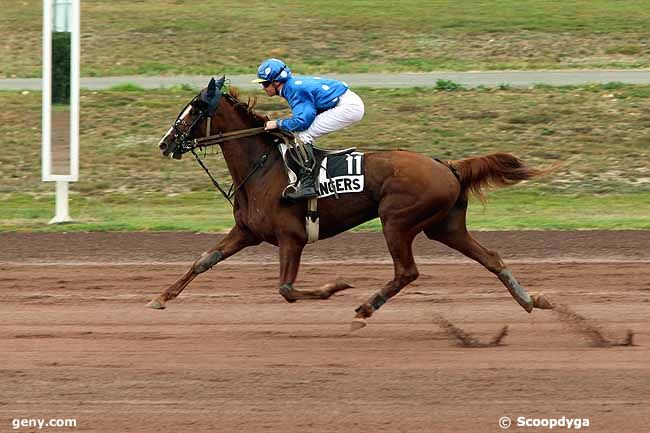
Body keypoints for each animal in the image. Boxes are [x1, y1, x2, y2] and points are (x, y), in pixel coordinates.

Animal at [152, 76, 552, 330]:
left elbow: (286, 290)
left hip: (397, 221)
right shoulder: (247, 231)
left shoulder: (291, 238)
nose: (165, 143)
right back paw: (529, 300)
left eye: (194, 110)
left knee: (407, 272)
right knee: (490, 257)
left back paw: (364, 308)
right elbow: (204, 260)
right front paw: (161, 296)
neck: (263, 167)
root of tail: (447, 165)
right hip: (444, 227)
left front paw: (337, 287)